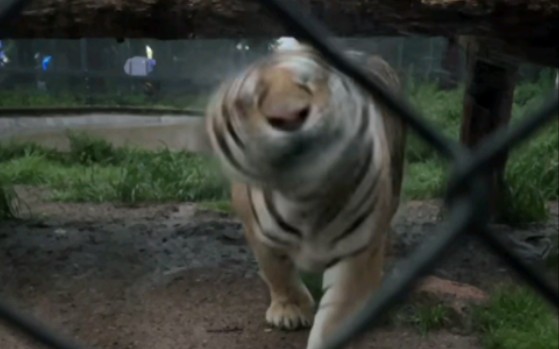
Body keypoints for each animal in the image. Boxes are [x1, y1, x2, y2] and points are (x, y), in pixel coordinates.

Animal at [206, 41, 406, 348]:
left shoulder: (358, 252)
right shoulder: (258, 232)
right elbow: (277, 271)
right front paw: (289, 310)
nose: (289, 118)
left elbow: (334, 317)